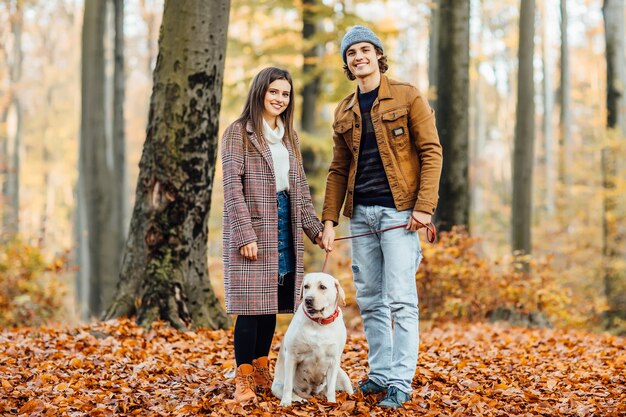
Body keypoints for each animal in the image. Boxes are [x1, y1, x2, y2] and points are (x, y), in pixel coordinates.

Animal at [272, 272, 354, 404]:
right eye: (306, 286)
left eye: (322, 287)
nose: (308, 299)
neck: (319, 323)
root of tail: (313, 393)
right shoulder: (291, 357)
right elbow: (288, 386)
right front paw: (285, 404)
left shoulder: (334, 360)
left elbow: (331, 389)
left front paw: (332, 404)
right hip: (277, 386)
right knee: (291, 391)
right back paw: (300, 400)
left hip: (343, 375)